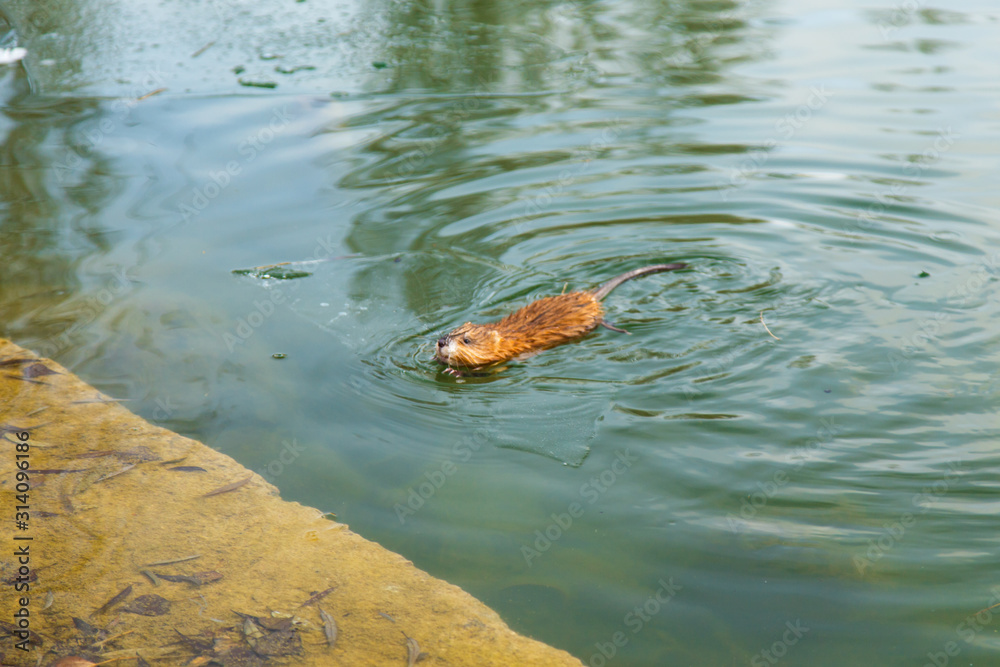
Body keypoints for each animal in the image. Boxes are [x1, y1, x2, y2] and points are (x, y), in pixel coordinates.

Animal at [435, 263, 687, 375]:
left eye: (467, 340)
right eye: (452, 331)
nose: (441, 341)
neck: (509, 335)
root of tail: (591, 296)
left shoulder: (510, 356)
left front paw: (454, 371)